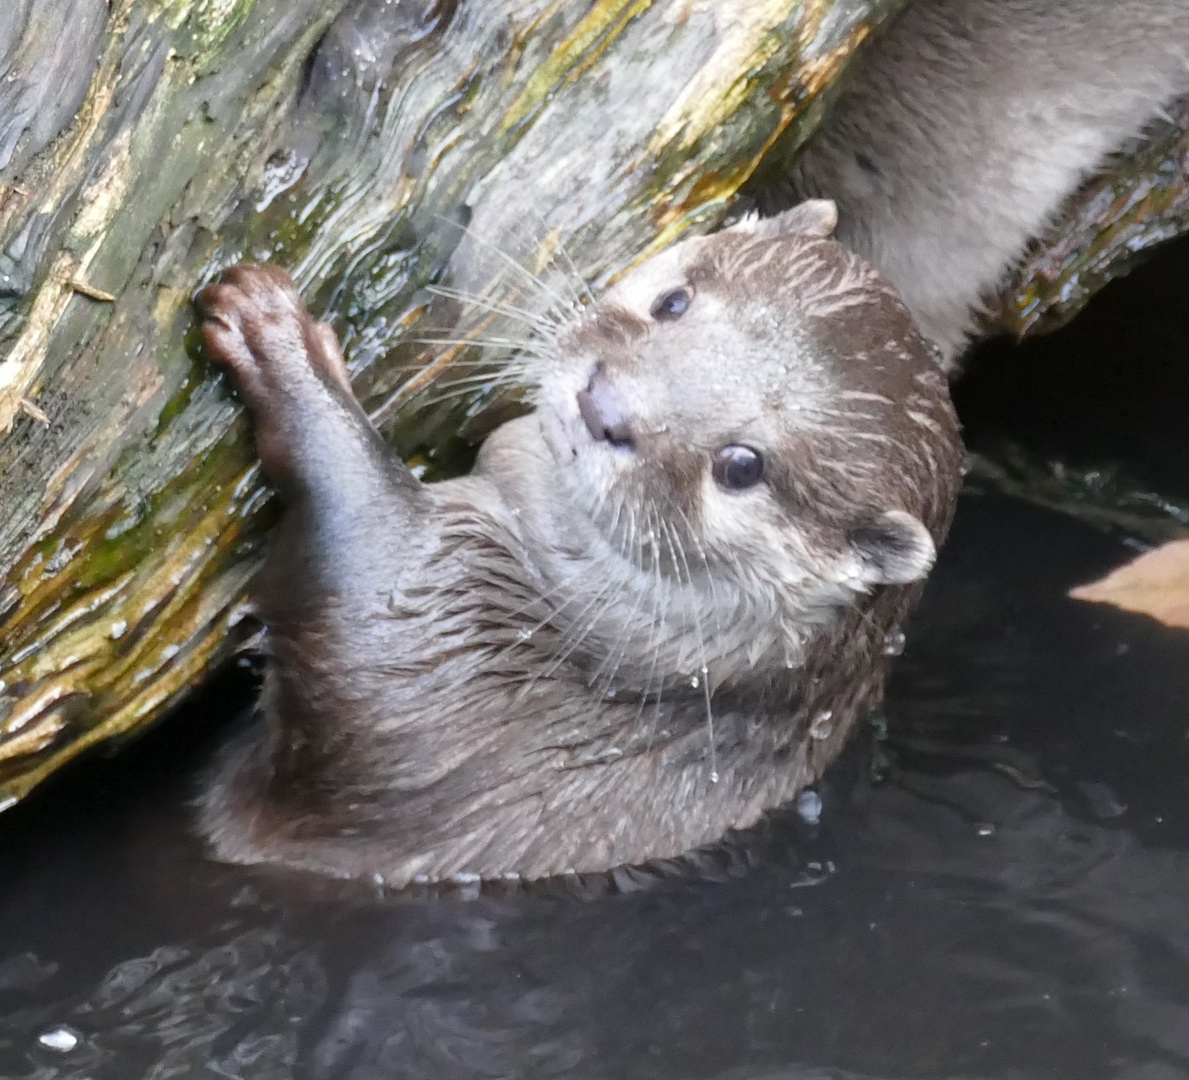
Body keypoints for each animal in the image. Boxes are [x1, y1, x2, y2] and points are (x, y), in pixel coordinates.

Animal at [190, 198, 960, 880]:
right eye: (673, 302)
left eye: (742, 465)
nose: (605, 404)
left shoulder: (421, 641)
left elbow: (358, 560)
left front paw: (278, 339)